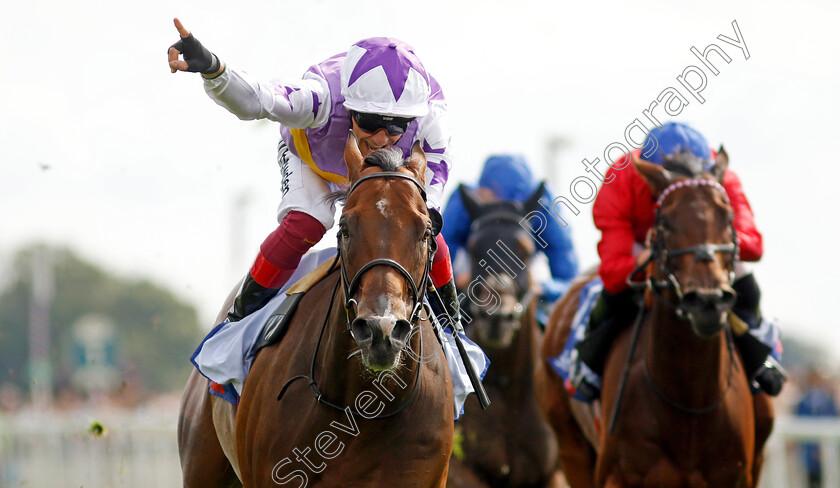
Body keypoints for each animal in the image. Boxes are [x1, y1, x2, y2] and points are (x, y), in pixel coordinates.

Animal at [540, 151, 776, 486]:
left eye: (728, 217)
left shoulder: (737, 475)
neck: (690, 403)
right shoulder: (616, 475)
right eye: (665, 221)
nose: (708, 301)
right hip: (570, 448)